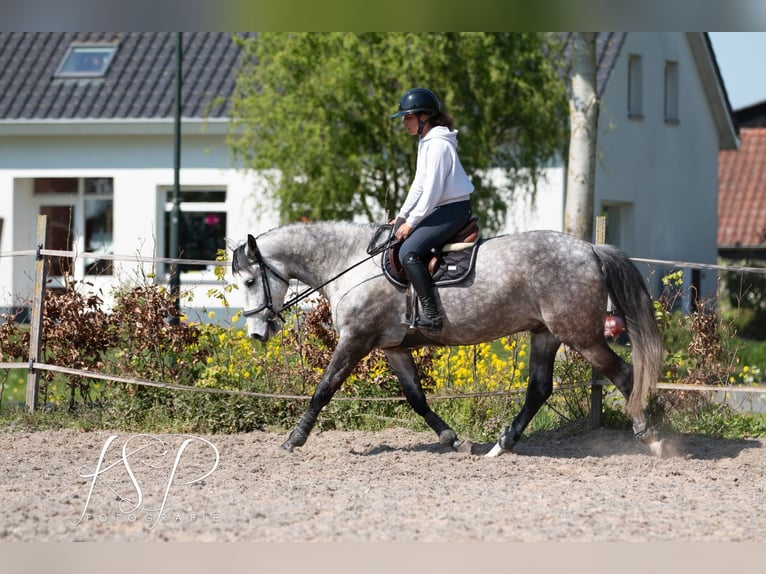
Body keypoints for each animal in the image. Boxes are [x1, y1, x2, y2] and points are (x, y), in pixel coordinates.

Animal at [231, 221, 665, 458]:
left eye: (250, 281)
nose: (256, 333)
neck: (350, 264)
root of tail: (591, 248)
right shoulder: (392, 348)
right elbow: (416, 398)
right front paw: (453, 440)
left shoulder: (355, 340)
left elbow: (323, 389)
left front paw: (294, 439)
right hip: (546, 334)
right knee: (539, 389)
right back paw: (501, 445)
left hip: (580, 336)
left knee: (625, 374)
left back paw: (652, 439)